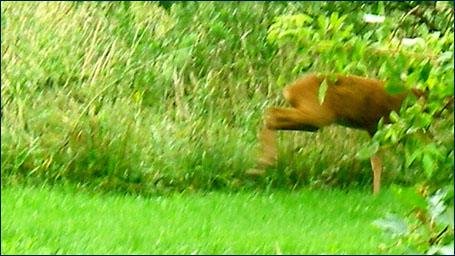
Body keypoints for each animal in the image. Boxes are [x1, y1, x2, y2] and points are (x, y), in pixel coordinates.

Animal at [246, 73, 428, 194]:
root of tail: (290, 89)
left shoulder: (373, 128)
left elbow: (376, 162)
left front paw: (375, 194)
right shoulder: (403, 124)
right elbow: (422, 149)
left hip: (312, 117)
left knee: (272, 115)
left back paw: (260, 165)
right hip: (317, 112)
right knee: (271, 114)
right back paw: (263, 163)